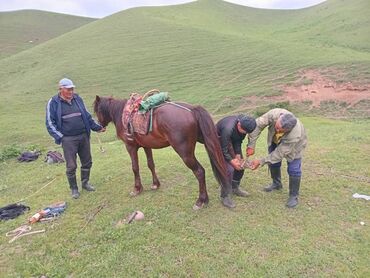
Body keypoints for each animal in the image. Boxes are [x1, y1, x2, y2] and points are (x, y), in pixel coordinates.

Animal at [93, 95, 231, 208]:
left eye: (97, 110)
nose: (100, 126)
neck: (123, 114)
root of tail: (192, 109)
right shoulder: (146, 146)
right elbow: (151, 164)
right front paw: (155, 184)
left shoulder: (130, 146)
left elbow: (135, 167)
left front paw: (137, 189)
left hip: (185, 153)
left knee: (199, 172)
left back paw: (201, 200)